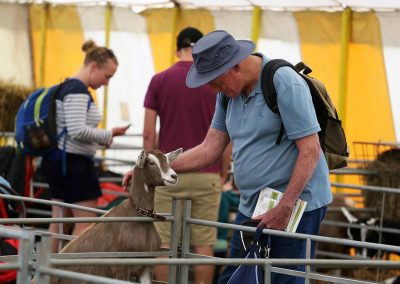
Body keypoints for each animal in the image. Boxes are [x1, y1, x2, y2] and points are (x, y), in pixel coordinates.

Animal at [50, 149, 182, 284]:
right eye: (151, 162)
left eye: (167, 160)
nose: (174, 176)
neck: (138, 215)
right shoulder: (120, 267)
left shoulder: (147, 266)